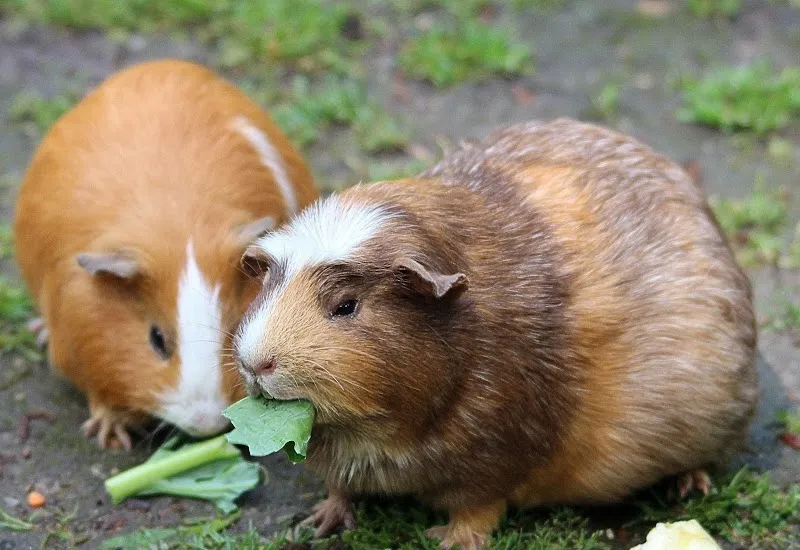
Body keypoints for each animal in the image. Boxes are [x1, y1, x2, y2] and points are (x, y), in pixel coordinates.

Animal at [233, 118, 758, 549]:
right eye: (269, 286)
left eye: (346, 306)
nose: (256, 363)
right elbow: (339, 486)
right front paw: (318, 522)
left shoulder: (493, 459)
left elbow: (478, 510)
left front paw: (446, 540)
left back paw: (689, 486)